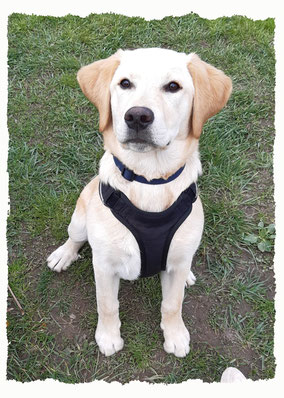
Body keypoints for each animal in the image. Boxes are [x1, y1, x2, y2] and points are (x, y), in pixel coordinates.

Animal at [47, 47, 233, 358]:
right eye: (125, 83)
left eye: (173, 86)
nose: (137, 116)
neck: (150, 179)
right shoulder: (104, 265)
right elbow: (107, 305)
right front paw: (109, 337)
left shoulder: (176, 263)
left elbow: (173, 304)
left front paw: (175, 335)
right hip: (79, 219)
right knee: (74, 238)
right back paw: (64, 254)